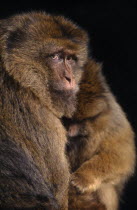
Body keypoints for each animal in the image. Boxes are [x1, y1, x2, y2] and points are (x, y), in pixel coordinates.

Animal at [64, 59, 136, 210]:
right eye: (67, 119)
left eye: (82, 120)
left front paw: (83, 178)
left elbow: (121, 156)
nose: (71, 130)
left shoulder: (113, 124)